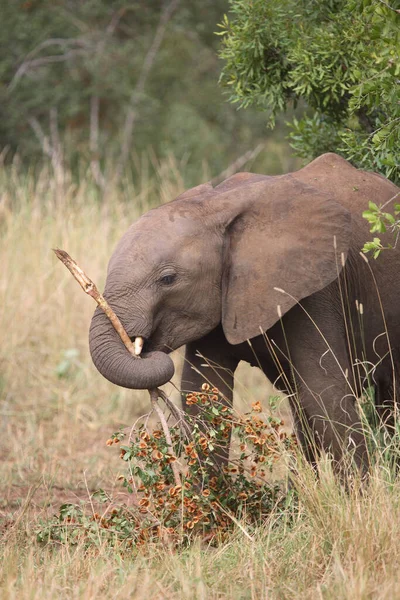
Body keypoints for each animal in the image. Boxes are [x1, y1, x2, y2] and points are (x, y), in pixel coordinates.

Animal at [90, 155, 400, 474]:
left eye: (167, 279)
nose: (144, 347)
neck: (215, 205)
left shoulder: (315, 292)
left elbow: (327, 395)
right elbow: (203, 394)